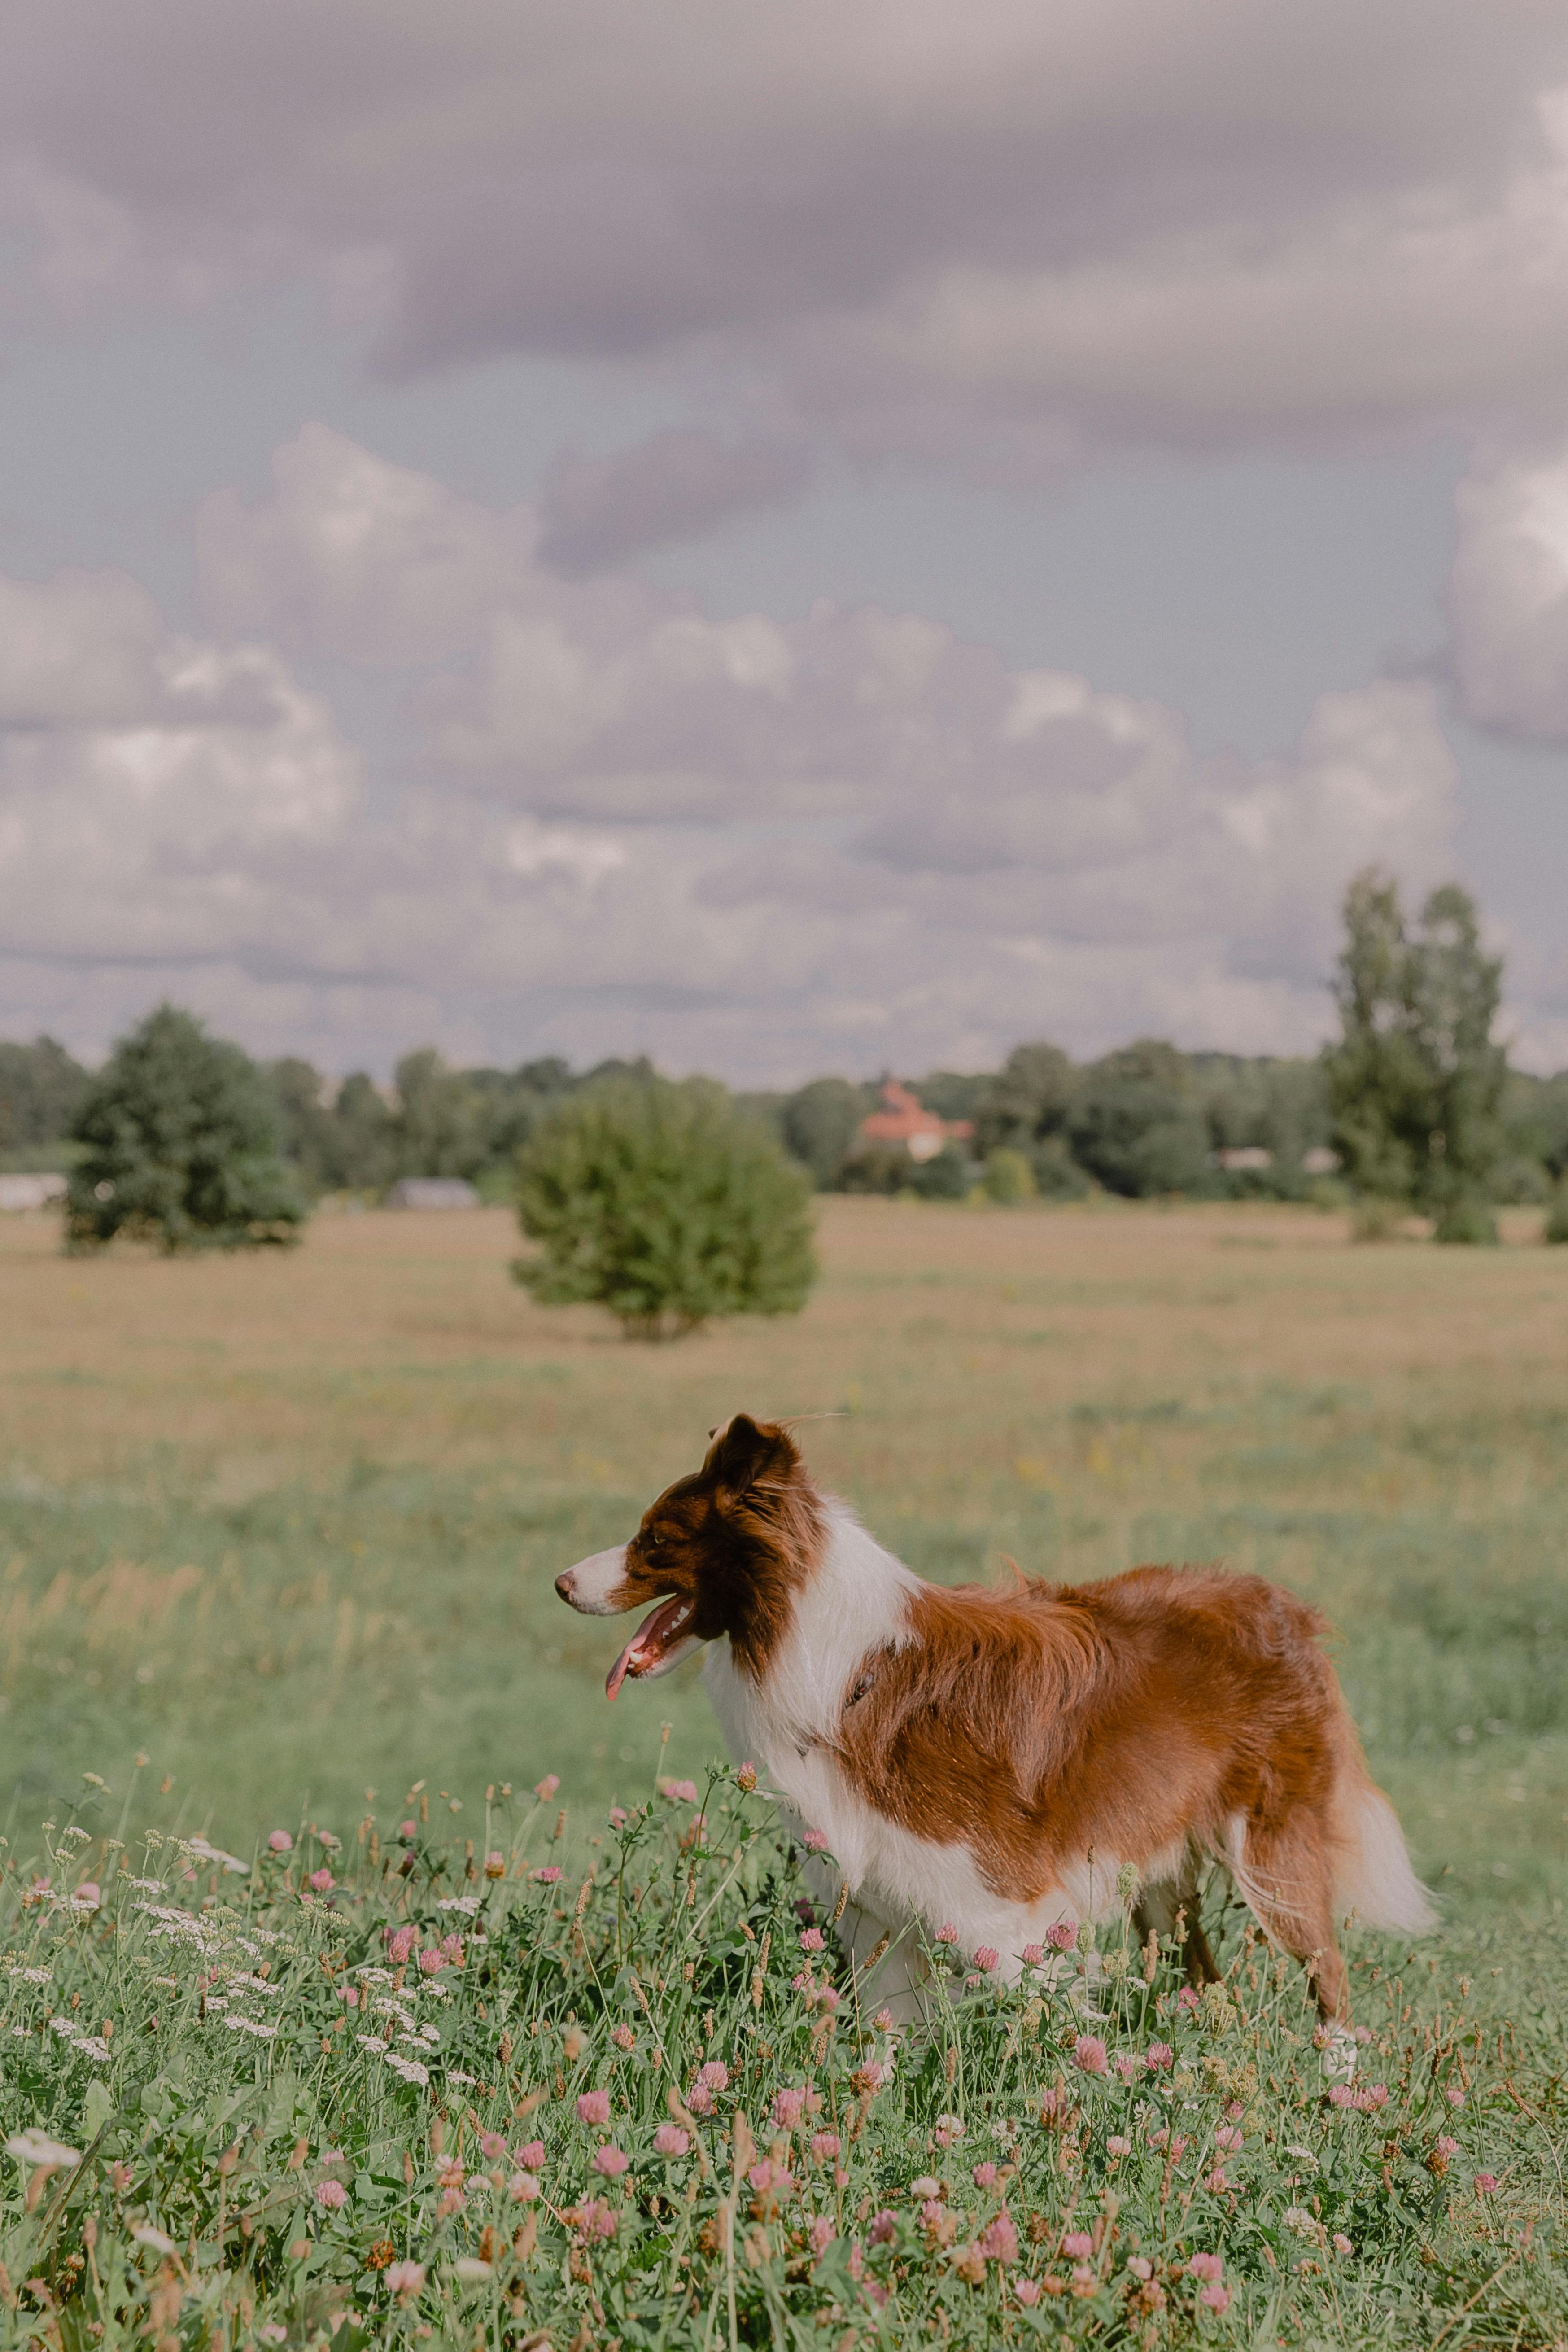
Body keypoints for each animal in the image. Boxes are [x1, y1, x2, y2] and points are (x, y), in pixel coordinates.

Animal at [555, 1411, 1438, 2023]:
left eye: (655, 1539)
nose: (560, 1583)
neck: (831, 1662)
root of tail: (1281, 1602)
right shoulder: (881, 1918)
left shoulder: (1001, 1914)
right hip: (1159, 1871)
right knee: (1202, 1978)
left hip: (1273, 1852)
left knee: (1329, 1979)